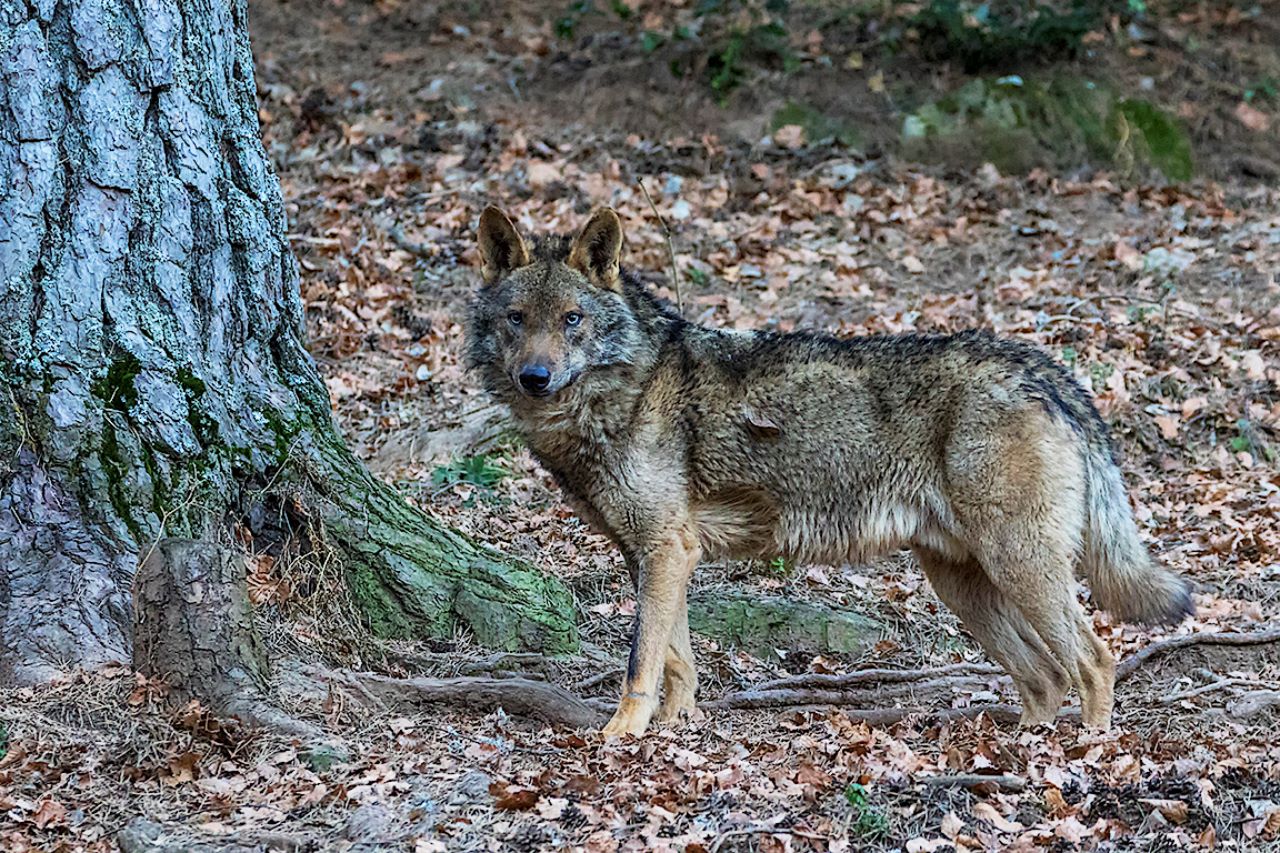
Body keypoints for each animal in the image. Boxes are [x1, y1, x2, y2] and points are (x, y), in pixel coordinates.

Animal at [465, 205, 1193, 737]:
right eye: (516, 319)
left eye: (572, 319)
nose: (535, 377)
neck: (630, 387)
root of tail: (1042, 368)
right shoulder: (658, 555)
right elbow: (677, 660)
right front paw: (675, 731)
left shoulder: (666, 550)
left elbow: (640, 661)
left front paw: (621, 737)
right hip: (965, 586)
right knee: (1044, 677)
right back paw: (1027, 742)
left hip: (1019, 567)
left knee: (1094, 661)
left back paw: (1084, 754)